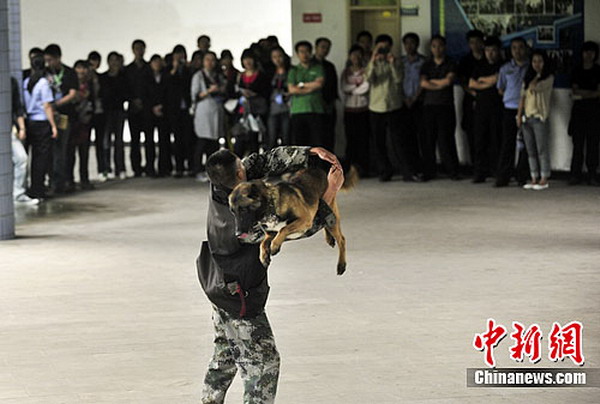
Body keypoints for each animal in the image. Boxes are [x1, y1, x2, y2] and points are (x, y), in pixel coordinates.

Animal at [229, 165, 358, 275]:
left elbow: (283, 229)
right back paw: (329, 238)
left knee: (341, 239)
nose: (237, 234)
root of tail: (319, 170)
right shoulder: (270, 234)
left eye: (243, 209)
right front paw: (264, 256)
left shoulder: (305, 220)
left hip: (330, 214)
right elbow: (263, 243)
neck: (272, 206)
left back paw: (341, 264)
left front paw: (274, 246)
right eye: (232, 211)